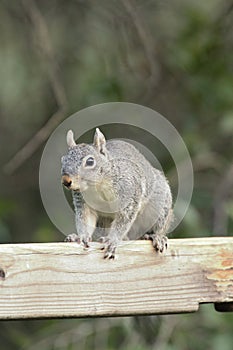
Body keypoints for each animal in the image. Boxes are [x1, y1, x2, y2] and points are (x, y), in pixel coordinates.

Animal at [61, 127, 172, 258]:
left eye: (90, 161)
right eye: (63, 160)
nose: (66, 181)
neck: (98, 185)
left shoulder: (130, 193)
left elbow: (124, 220)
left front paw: (112, 240)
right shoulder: (83, 203)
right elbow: (85, 219)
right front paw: (81, 236)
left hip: (159, 206)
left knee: (156, 227)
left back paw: (155, 236)